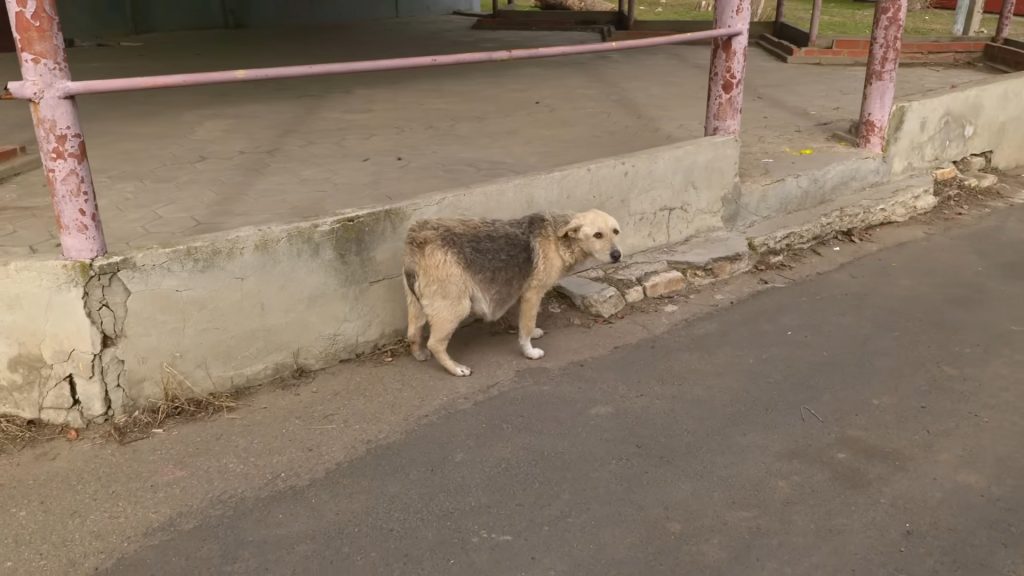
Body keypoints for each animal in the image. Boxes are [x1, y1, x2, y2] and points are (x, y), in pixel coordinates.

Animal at [403, 208, 618, 375]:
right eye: (598, 235)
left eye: (616, 231)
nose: (618, 255)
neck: (559, 240)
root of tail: (416, 239)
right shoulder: (533, 293)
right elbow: (527, 326)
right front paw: (529, 352)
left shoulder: (523, 294)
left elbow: (525, 322)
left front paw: (532, 333)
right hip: (455, 306)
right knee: (435, 343)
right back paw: (456, 368)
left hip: (417, 303)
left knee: (413, 333)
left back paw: (419, 354)